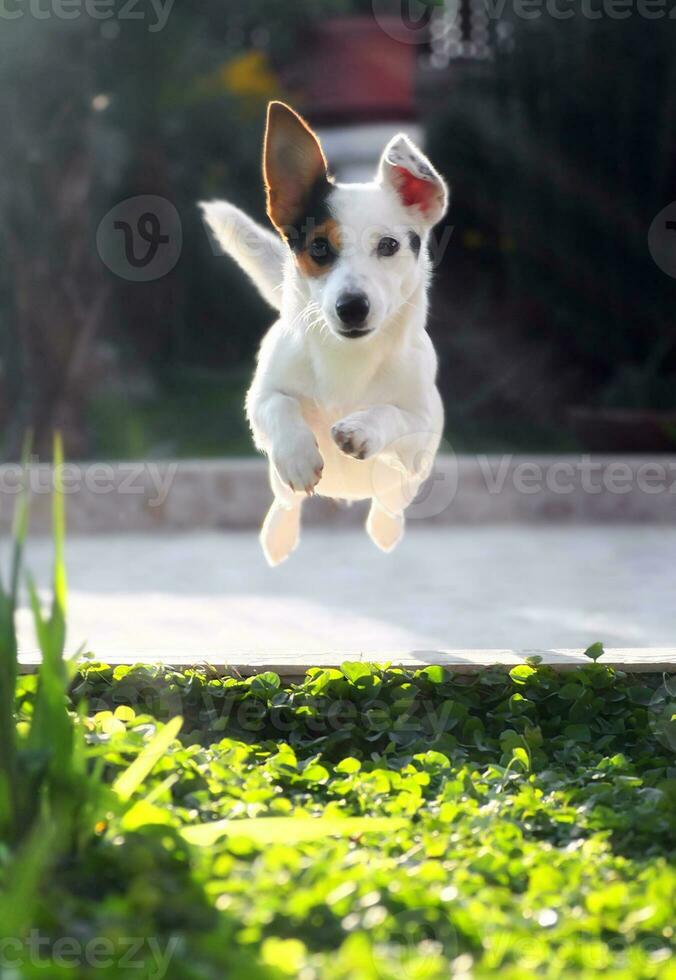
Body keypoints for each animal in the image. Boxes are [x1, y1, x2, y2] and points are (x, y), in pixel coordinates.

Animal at [201, 100, 448, 568]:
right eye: (318, 247)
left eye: (389, 246)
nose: (351, 307)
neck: (348, 360)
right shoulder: (259, 400)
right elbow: (279, 406)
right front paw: (299, 454)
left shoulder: (423, 435)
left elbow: (393, 415)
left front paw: (362, 428)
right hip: (278, 484)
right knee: (285, 502)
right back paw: (278, 535)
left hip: (403, 486)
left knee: (389, 507)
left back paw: (385, 530)